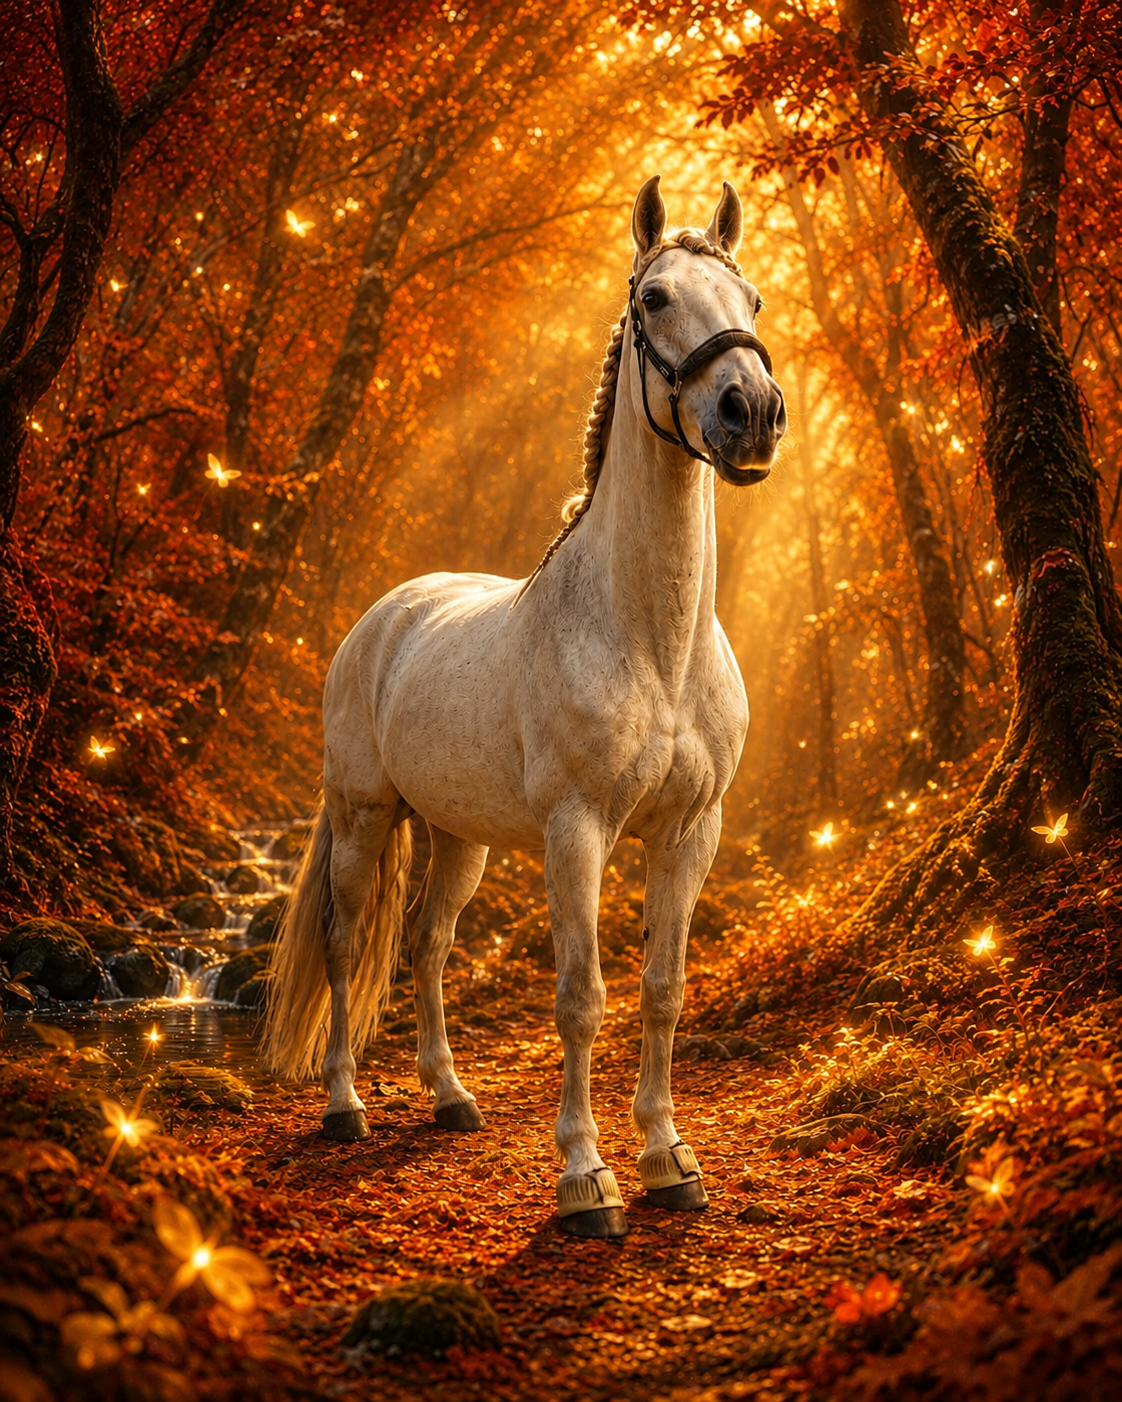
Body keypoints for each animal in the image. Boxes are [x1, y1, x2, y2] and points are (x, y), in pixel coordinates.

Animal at [262, 174, 786, 1239]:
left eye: (750, 300)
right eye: (654, 298)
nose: (750, 412)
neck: (651, 641)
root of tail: (386, 616)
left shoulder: (690, 833)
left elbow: (662, 990)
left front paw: (669, 1158)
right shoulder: (576, 830)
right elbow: (582, 996)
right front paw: (587, 1177)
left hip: (455, 835)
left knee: (426, 945)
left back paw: (450, 1096)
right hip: (364, 816)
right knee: (346, 944)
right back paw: (346, 1105)